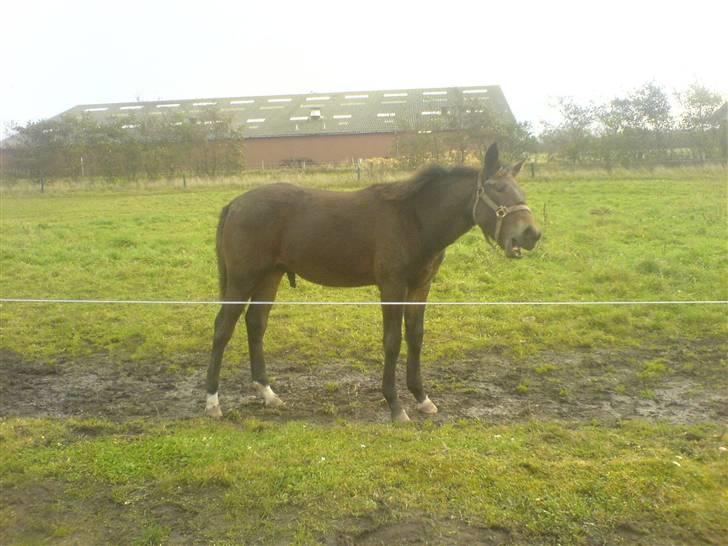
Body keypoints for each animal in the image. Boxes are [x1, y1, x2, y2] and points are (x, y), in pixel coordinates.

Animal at [205, 141, 540, 420]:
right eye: (497, 188)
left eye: (519, 188)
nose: (531, 234)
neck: (414, 219)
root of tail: (234, 204)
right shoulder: (392, 286)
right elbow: (392, 341)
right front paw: (395, 406)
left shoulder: (421, 286)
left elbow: (416, 336)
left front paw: (422, 398)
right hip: (242, 279)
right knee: (223, 328)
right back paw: (212, 402)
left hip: (269, 277)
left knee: (255, 324)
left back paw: (268, 393)